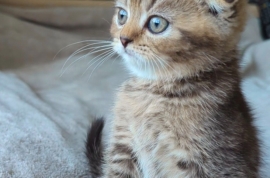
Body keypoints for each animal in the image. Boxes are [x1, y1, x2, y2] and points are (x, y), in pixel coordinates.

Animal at [86, 0, 260, 177]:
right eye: (122, 16)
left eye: (157, 24)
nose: (123, 39)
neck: (154, 92)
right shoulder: (123, 145)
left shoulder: (213, 161)